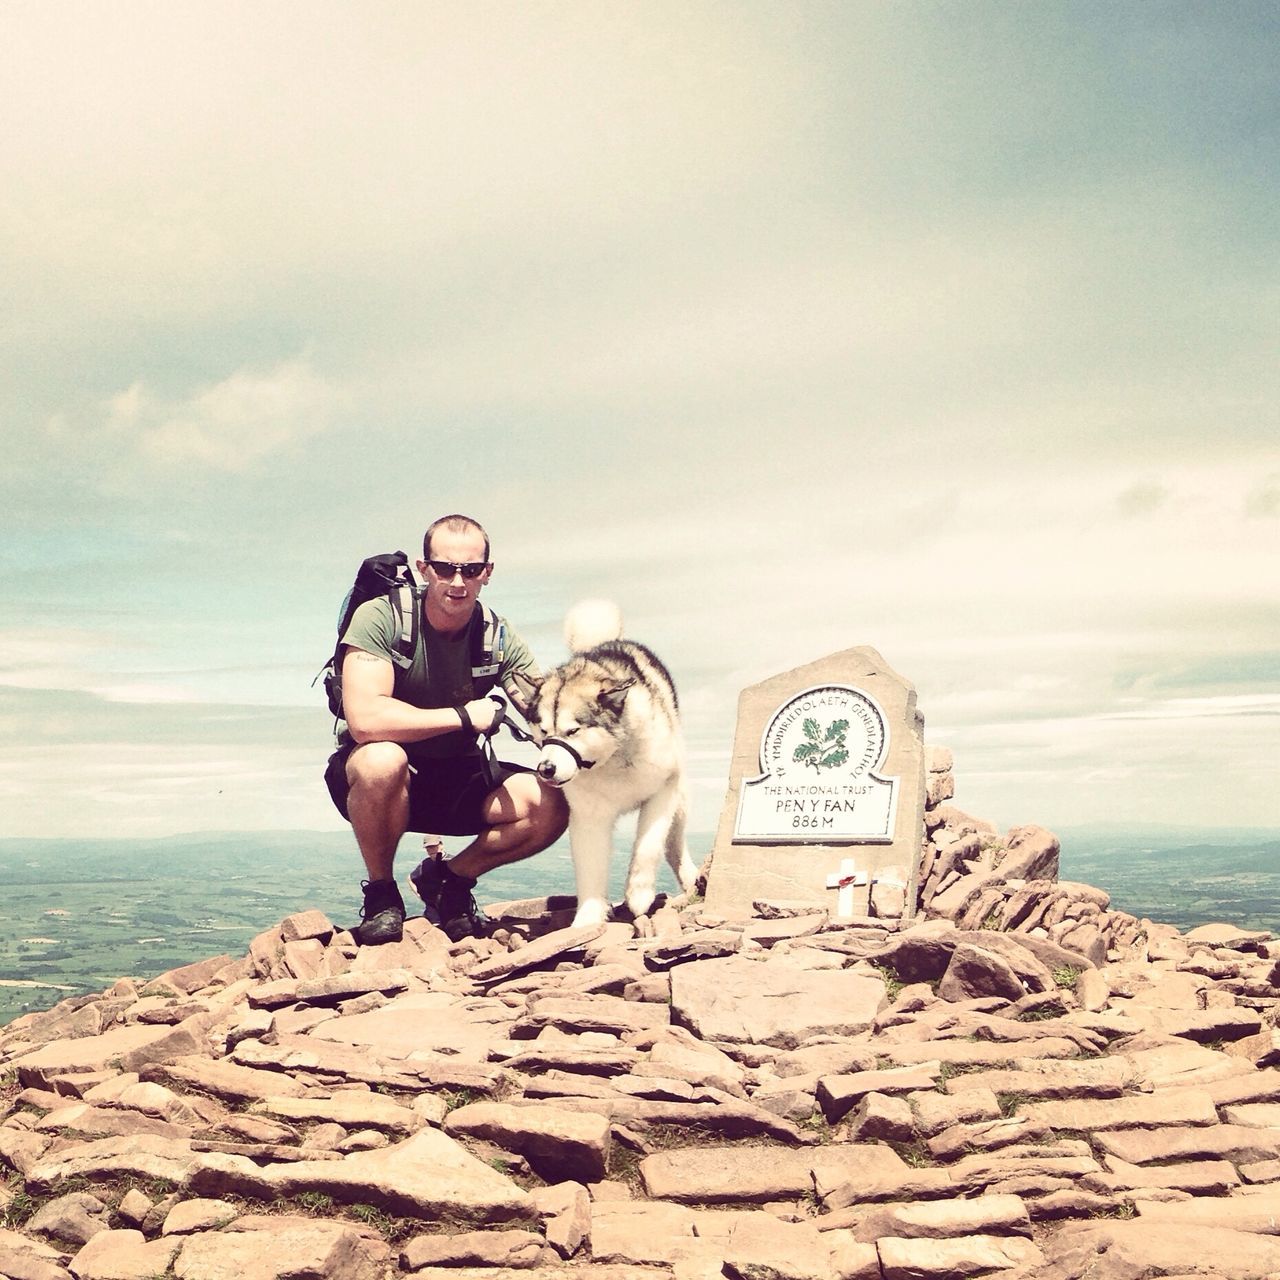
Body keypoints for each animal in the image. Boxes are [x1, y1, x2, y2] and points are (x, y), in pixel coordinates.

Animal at [512, 599, 701, 931]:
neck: (610, 760)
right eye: (543, 730)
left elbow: (648, 845)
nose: (546, 769)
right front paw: (587, 921)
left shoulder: (662, 790)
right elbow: (590, 870)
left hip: (679, 797)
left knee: (673, 843)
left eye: (573, 730)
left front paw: (638, 894)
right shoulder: (588, 816)